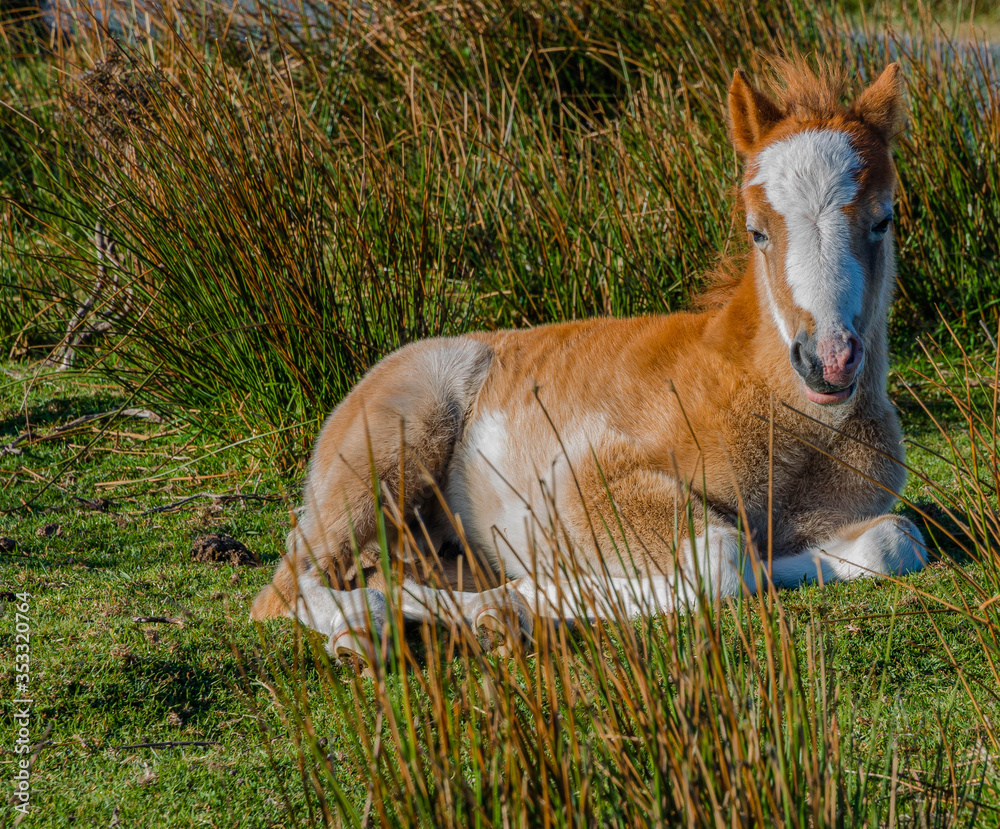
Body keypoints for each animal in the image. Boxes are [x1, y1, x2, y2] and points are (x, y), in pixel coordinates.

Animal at [250, 61, 927, 664]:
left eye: (883, 220)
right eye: (756, 230)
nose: (828, 362)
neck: (766, 402)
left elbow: (894, 542)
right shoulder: (585, 485)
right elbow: (722, 563)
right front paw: (507, 606)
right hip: (390, 451)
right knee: (286, 585)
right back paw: (369, 629)